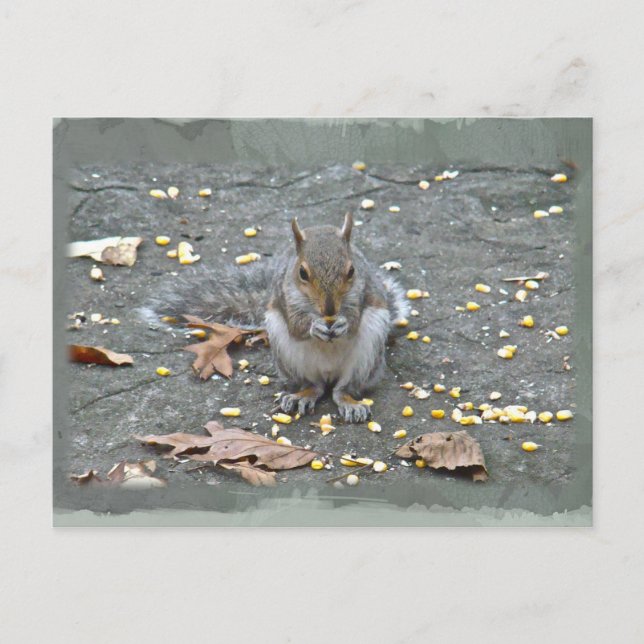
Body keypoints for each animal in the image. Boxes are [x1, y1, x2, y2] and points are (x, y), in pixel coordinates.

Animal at [145, 212, 409, 423]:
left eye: (352, 270)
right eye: (302, 273)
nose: (329, 310)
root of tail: (328, 374)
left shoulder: (365, 293)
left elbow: (354, 321)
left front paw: (344, 324)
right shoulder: (285, 297)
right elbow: (296, 325)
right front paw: (314, 327)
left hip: (367, 356)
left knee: (342, 389)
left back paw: (350, 402)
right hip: (287, 354)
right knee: (313, 386)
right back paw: (301, 396)